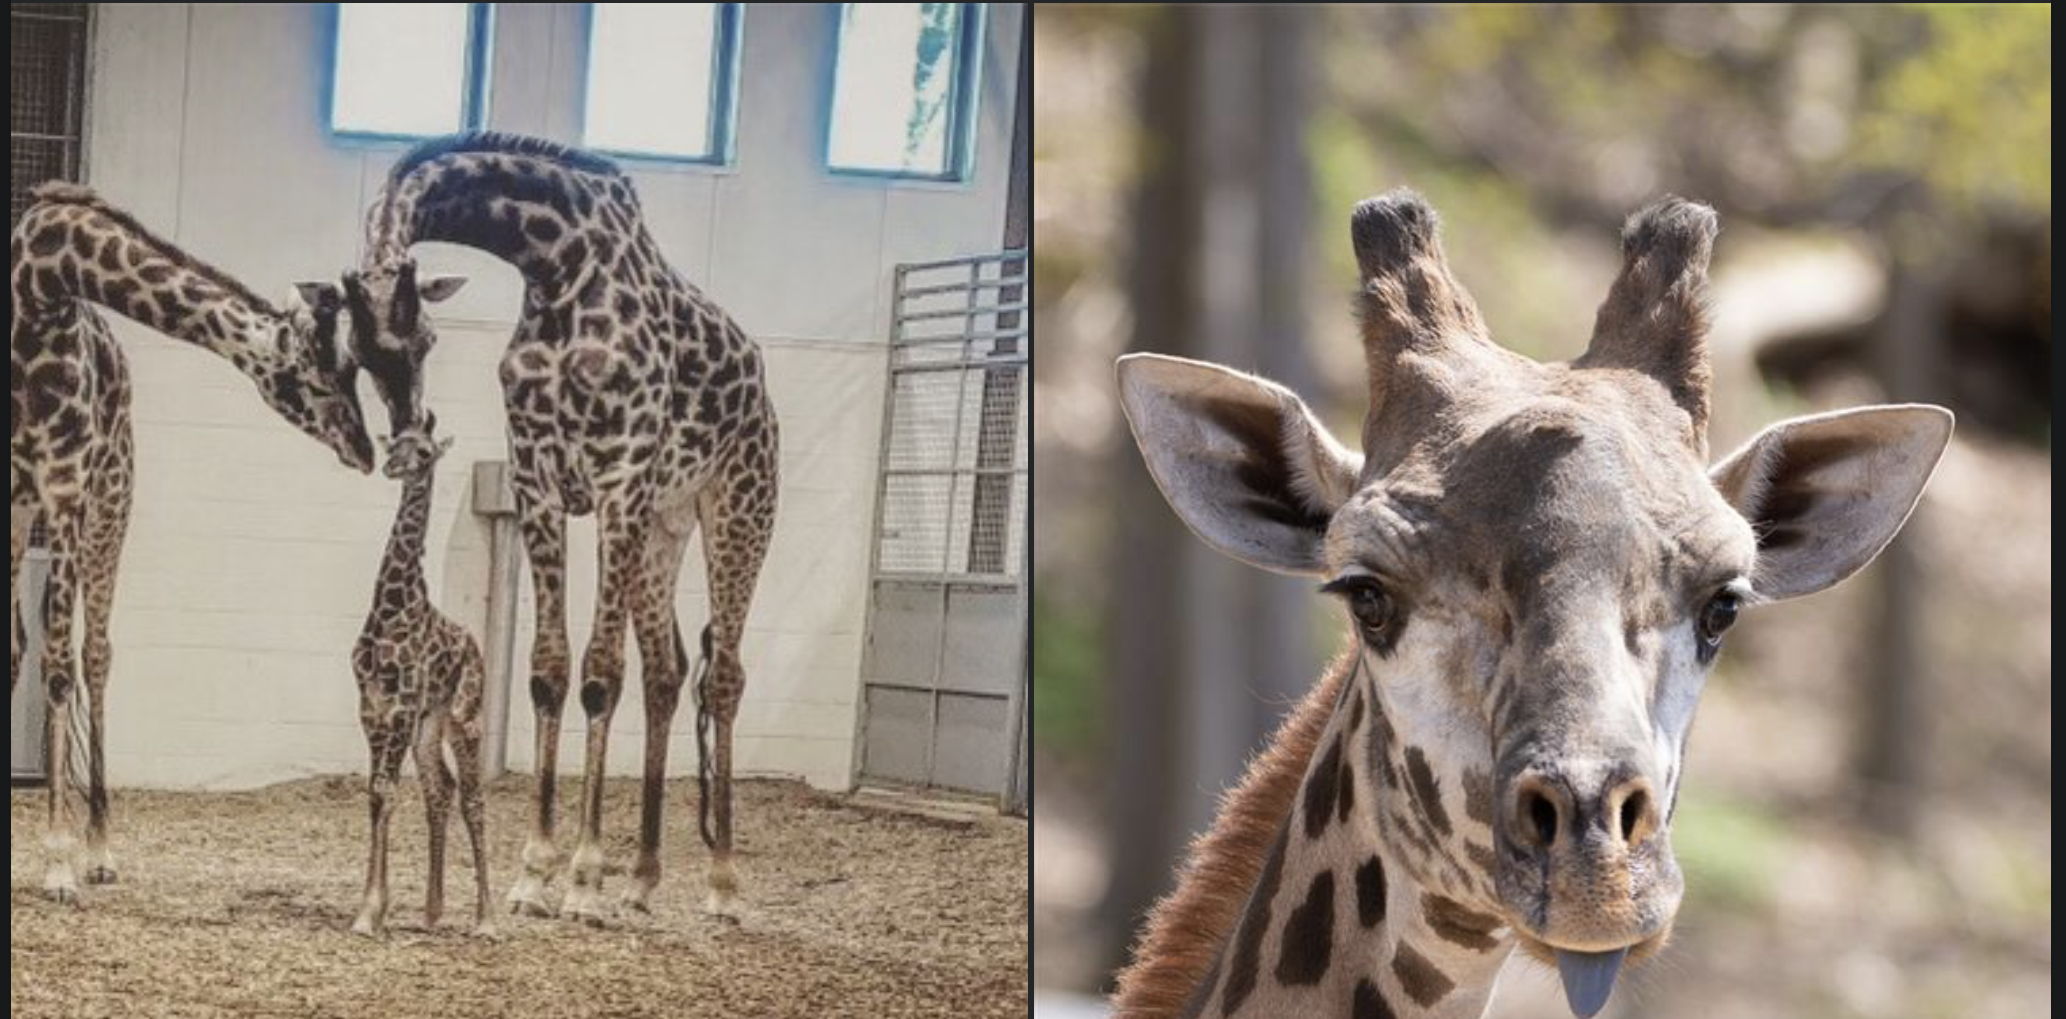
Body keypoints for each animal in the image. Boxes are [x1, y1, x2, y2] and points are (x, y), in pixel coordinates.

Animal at [10, 183, 375, 904]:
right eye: (323, 374)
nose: (367, 450)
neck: (36, 284)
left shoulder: (65, 488)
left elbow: (60, 663)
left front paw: (59, 862)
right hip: (30, 507)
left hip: (111, 497)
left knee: (96, 653)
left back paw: (99, 849)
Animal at [350, 422, 493, 938]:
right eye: (394, 444)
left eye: (426, 452)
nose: (394, 467)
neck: (391, 607)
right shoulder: (372, 708)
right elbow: (378, 793)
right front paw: (374, 908)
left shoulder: (401, 706)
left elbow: (388, 792)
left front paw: (370, 912)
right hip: (429, 725)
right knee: (440, 789)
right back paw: (432, 911)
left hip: (464, 717)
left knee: (473, 798)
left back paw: (487, 919)